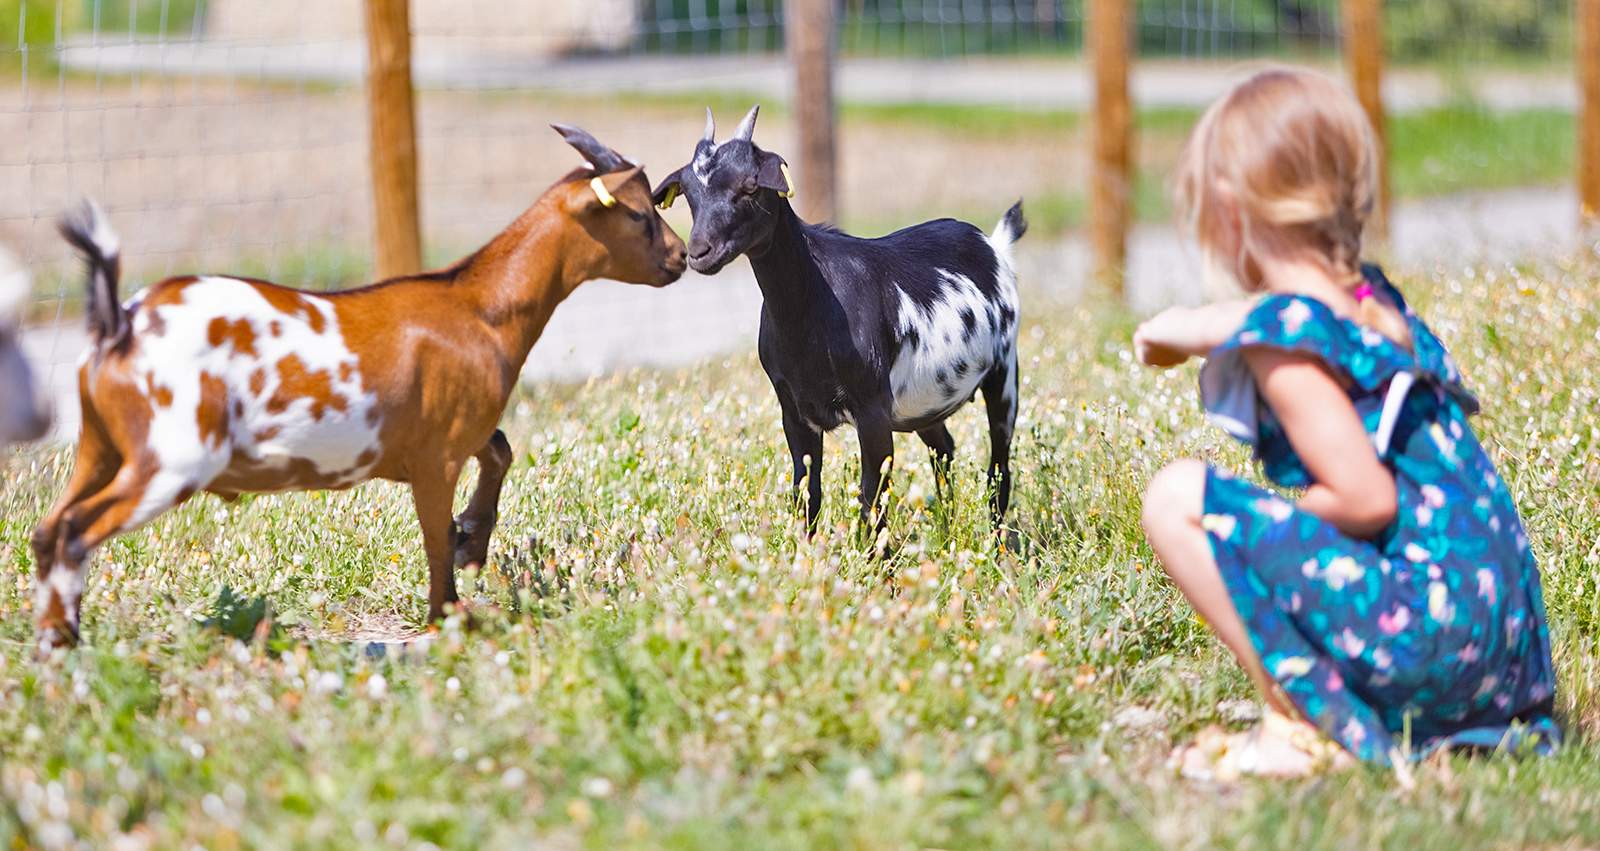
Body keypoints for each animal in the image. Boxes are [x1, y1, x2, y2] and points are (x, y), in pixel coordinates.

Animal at [30, 126, 687, 652]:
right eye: (638, 213)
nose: (681, 256)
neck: (477, 306)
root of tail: (122, 323)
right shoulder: (437, 456)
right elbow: (435, 538)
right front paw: (449, 614)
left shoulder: (449, 433)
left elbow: (499, 450)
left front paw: (473, 539)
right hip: (173, 459)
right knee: (75, 532)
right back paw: (65, 648)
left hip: (101, 447)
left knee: (48, 529)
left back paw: (53, 640)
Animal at [653, 106, 1024, 536]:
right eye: (688, 193)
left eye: (750, 186)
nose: (699, 251)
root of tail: (993, 244)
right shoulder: (794, 412)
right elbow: (807, 494)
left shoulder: (873, 411)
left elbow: (871, 500)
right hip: (924, 401)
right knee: (943, 449)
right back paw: (947, 530)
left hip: (1003, 373)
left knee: (999, 468)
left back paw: (996, 541)